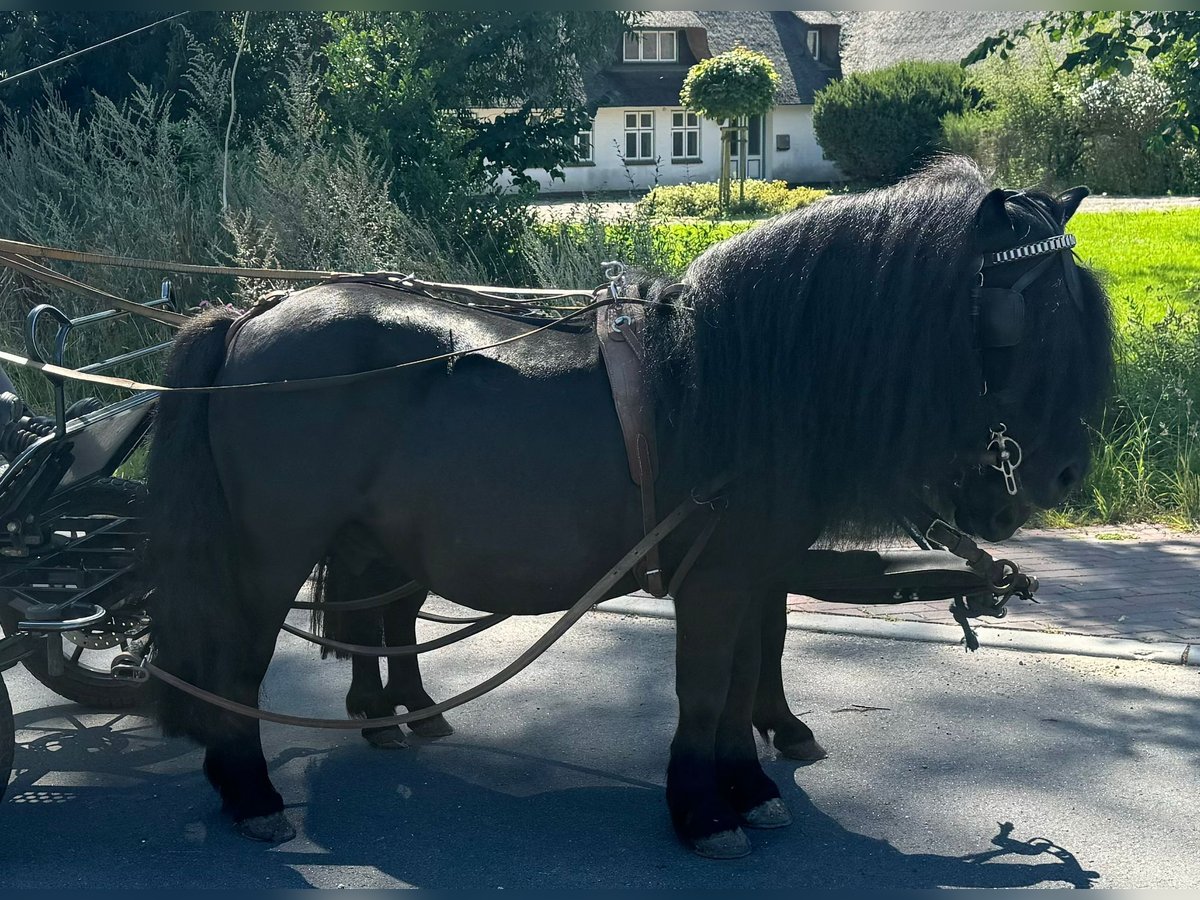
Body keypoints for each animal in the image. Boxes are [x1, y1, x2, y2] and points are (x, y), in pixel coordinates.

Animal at [147, 160, 1113, 859]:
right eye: (1040, 312)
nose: (1064, 473)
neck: (742, 378)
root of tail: (253, 313)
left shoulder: (754, 572)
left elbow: (745, 679)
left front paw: (750, 785)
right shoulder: (716, 579)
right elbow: (705, 688)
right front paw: (704, 810)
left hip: (368, 538)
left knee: (374, 615)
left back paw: (389, 718)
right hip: (269, 552)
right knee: (238, 662)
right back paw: (250, 792)